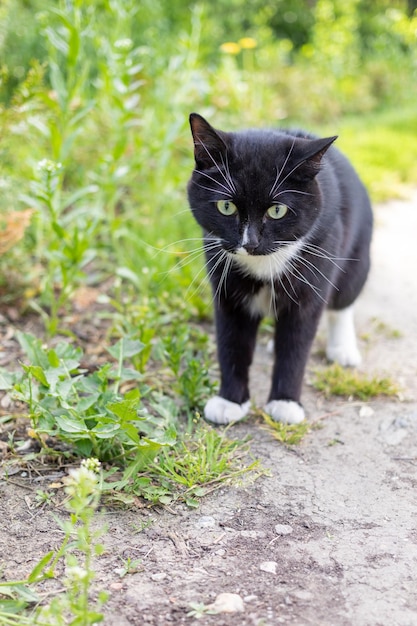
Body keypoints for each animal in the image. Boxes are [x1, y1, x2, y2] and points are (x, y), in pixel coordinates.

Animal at [187, 112, 372, 424]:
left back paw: (343, 348)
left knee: (343, 302)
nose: (250, 242)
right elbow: (231, 340)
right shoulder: (225, 285)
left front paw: (285, 403)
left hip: (357, 253)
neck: (262, 263)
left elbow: (296, 344)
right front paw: (230, 401)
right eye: (226, 206)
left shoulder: (314, 274)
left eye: (277, 210)